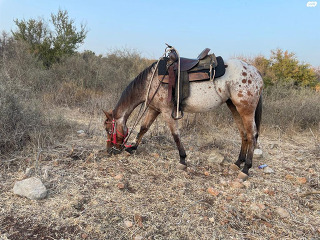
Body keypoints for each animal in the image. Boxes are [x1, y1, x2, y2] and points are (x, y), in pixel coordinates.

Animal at [103, 56, 262, 180]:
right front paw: (132, 148)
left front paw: (182, 160)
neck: (152, 81)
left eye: (108, 129)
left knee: (252, 135)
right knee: (244, 134)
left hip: (245, 110)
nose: (110, 150)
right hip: (234, 107)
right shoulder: (154, 109)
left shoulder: (167, 111)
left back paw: (246, 169)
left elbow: (175, 135)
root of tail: (255, 71)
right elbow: (143, 128)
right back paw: (237, 163)